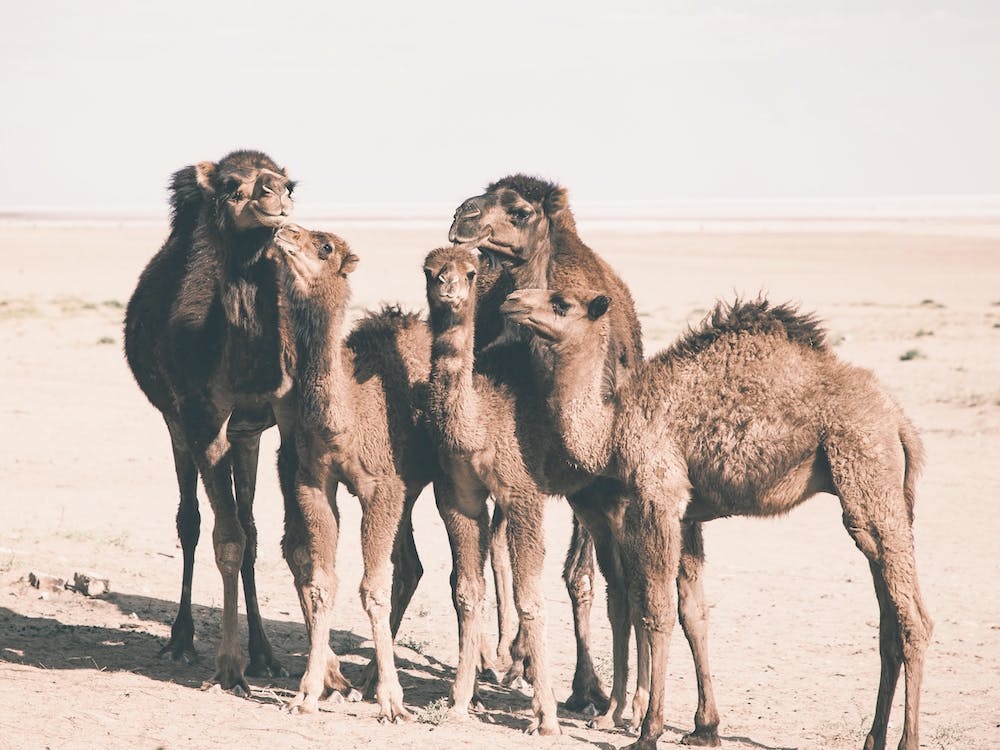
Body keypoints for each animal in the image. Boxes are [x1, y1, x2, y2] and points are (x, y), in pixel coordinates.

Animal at [124, 150, 294, 685]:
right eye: (234, 186)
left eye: (289, 184)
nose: (276, 194)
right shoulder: (202, 419)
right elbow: (227, 537)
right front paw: (229, 666)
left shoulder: (260, 427)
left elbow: (254, 534)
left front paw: (263, 654)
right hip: (176, 425)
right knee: (191, 521)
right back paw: (181, 641)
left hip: (243, 436)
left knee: (249, 525)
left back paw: (259, 651)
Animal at [422, 245, 641, 735]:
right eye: (429, 271)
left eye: (470, 271)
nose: (449, 288)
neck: (477, 422)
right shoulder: (457, 495)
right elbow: (468, 590)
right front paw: (461, 700)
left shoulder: (523, 491)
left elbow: (531, 598)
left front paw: (546, 717)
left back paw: (607, 701)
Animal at [500, 289, 932, 750]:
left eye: (561, 303)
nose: (511, 300)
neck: (613, 427)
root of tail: (899, 421)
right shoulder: (687, 514)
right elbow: (692, 611)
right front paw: (703, 729)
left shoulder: (659, 495)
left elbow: (656, 611)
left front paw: (648, 732)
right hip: (883, 498)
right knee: (889, 622)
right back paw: (873, 738)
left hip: (866, 469)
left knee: (913, 620)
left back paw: (907, 740)